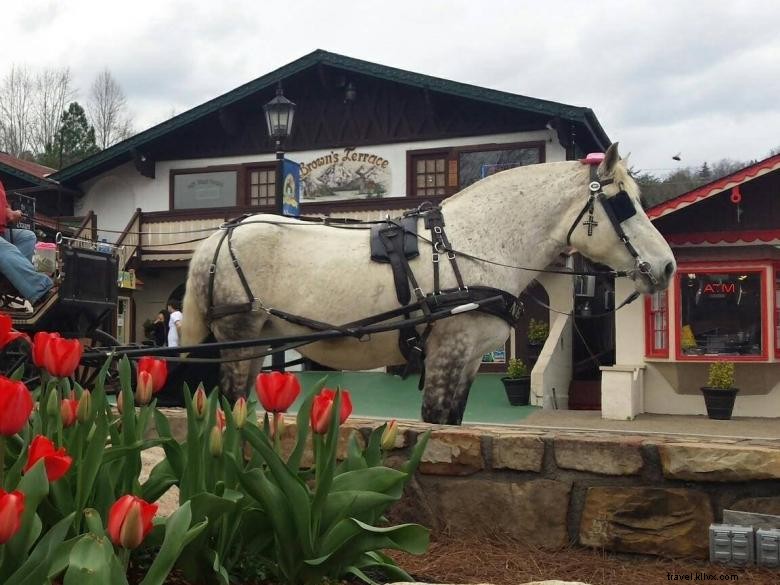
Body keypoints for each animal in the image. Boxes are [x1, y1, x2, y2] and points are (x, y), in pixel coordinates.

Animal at [183, 143, 676, 424]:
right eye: (623, 203)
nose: (667, 266)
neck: (473, 244)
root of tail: (219, 236)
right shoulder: (448, 350)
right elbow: (435, 426)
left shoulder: (471, 357)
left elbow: (453, 423)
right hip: (238, 336)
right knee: (229, 404)